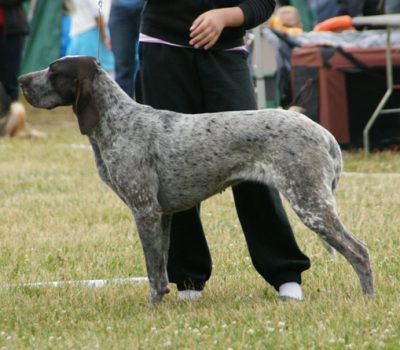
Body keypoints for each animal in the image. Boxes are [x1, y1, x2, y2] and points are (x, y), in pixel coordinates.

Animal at [17, 56, 374, 304]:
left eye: (54, 71)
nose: (21, 79)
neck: (117, 122)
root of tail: (323, 132)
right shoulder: (161, 214)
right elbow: (161, 269)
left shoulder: (144, 211)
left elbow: (151, 270)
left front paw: (152, 309)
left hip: (310, 204)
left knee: (359, 250)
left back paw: (367, 299)